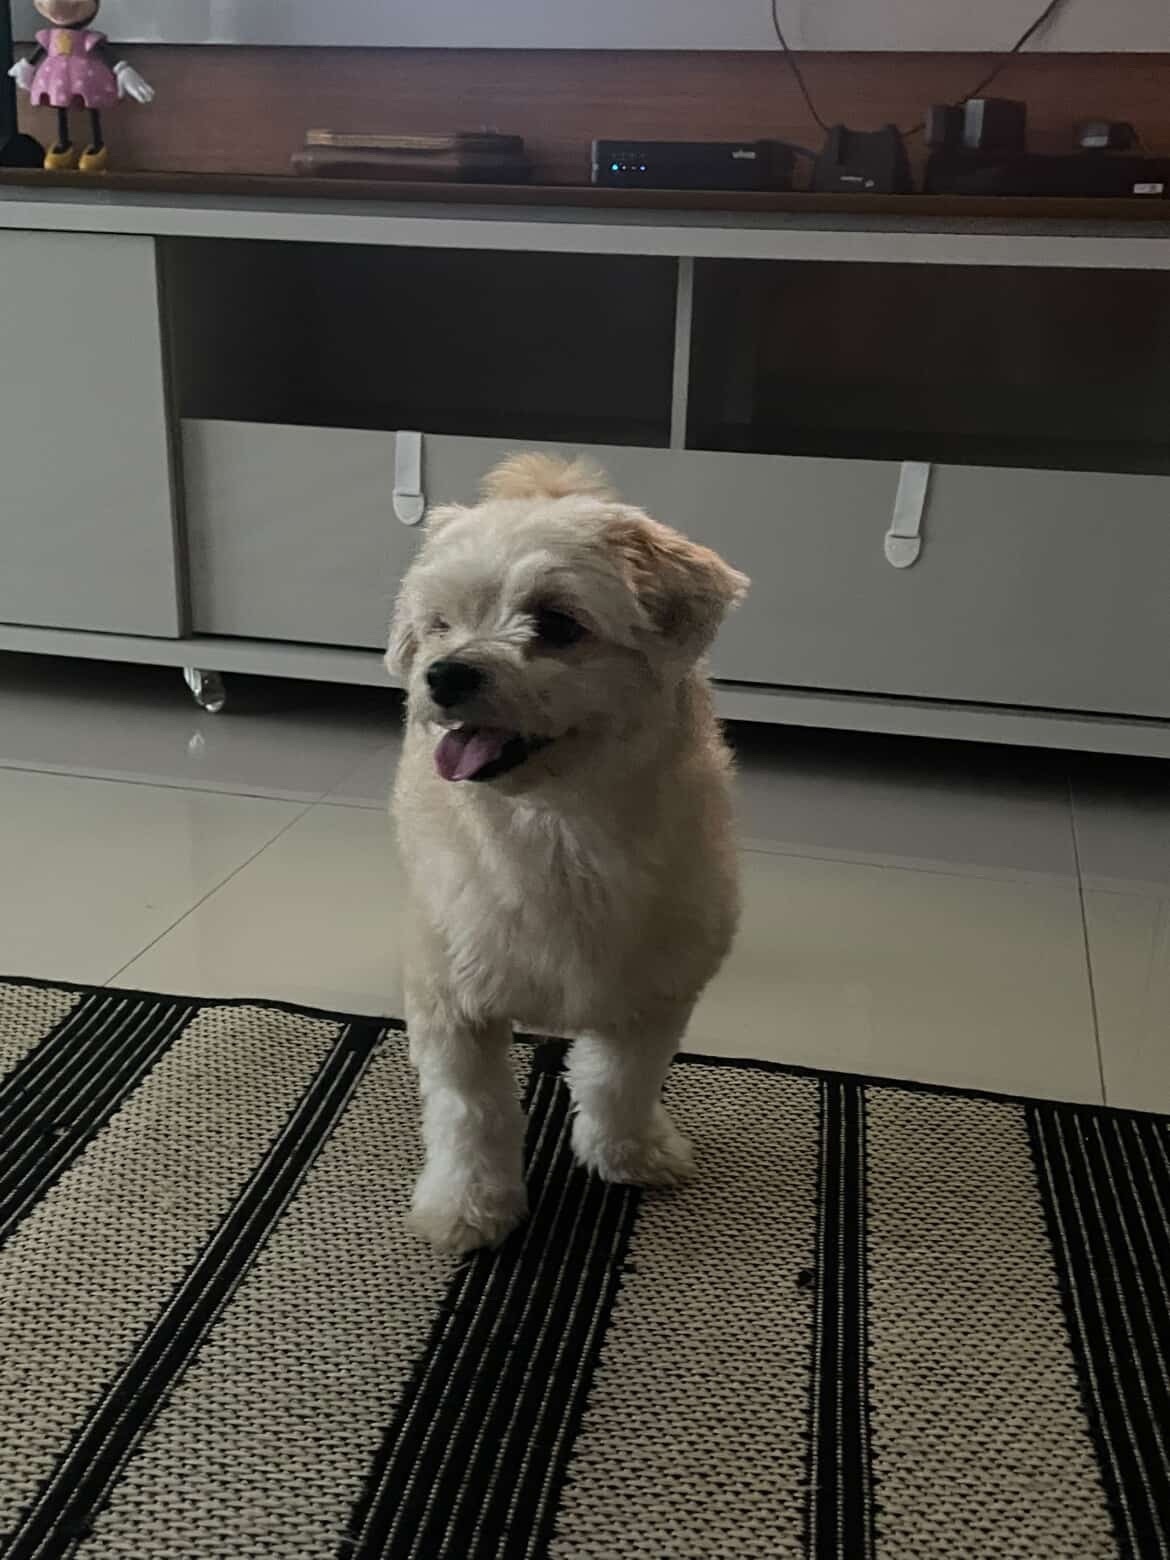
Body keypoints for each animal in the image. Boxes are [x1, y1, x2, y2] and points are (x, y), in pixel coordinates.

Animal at [388, 453, 749, 1255]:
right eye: (440, 624)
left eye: (557, 623)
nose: (444, 673)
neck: (558, 828)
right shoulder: (452, 999)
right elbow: (471, 1113)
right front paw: (469, 1206)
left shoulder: (655, 987)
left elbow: (621, 1082)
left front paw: (628, 1153)